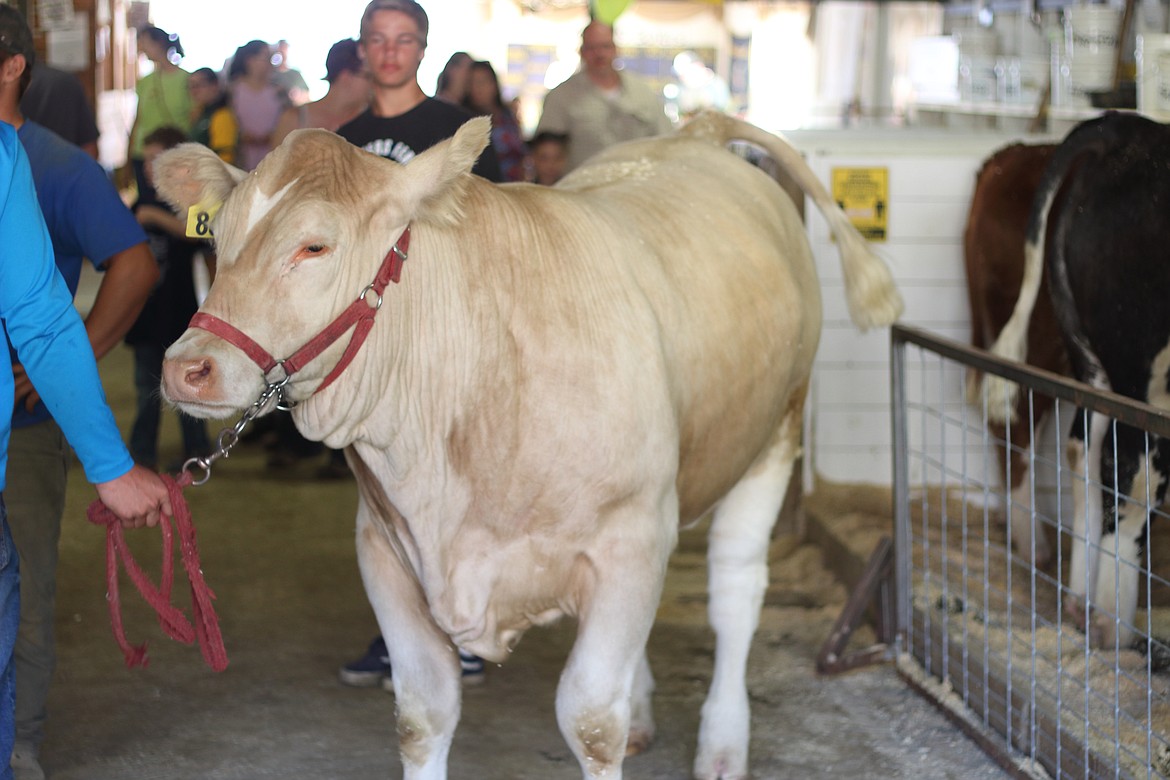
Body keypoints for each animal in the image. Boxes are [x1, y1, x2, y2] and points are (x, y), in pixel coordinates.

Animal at [153, 111, 903, 780]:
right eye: (217, 239)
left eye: (314, 246)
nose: (187, 367)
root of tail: (698, 133)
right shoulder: (384, 550)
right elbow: (423, 716)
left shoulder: (628, 539)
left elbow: (592, 722)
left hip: (775, 434)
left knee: (736, 590)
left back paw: (723, 744)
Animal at [987, 109, 1170, 645]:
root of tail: (1125, 126)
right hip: (1138, 368)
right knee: (1128, 467)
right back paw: (1111, 619)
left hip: (1089, 361)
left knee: (1082, 447)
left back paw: (1079, 601)